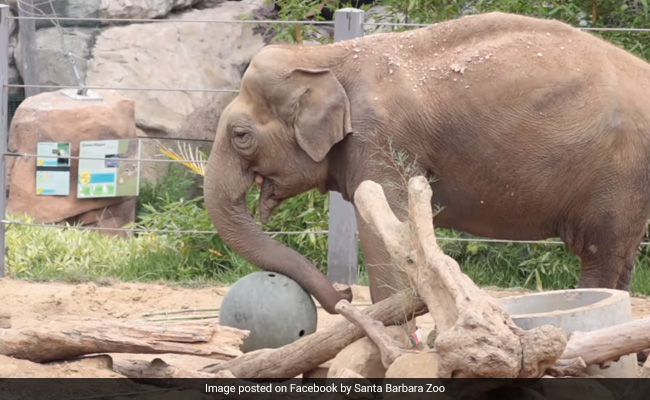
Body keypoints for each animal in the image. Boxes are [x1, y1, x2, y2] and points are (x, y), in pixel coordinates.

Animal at [204, 12, 650, 314]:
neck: (323, 54)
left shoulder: (378, 138)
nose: (345, 295)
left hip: (617, 173)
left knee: (601, 255)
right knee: (622, 259)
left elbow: (382, 228)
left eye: (240, 136)